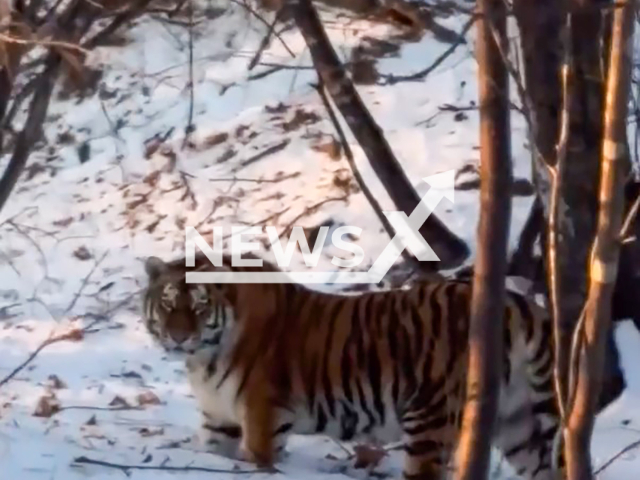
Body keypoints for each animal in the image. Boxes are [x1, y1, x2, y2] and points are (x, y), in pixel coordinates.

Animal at [142, 255, 562, 480]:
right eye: (167, 303)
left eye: (199, 306)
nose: (178, 337)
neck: (204, 361)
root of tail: (514, 301)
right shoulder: (219, 420)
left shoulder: (264, 419)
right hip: (516, 424)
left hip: (431, 420)